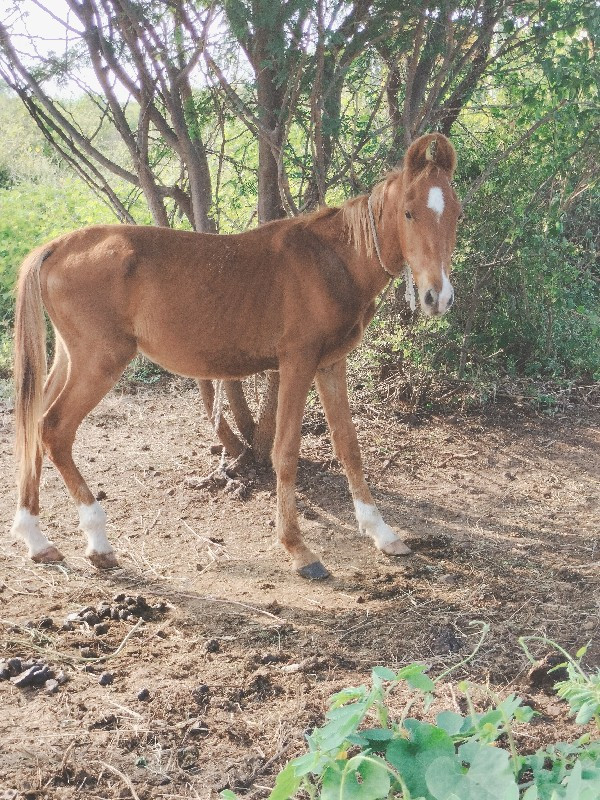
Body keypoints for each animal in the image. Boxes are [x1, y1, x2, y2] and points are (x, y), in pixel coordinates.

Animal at [10, 133, 460, 580]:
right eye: (408, 213)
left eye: (455, 212)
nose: (437, 298)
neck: (332, 260)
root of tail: (57, 246)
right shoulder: (298, 363)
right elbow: (286, 452)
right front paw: (298, 548)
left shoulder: (331, 364)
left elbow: (348, 445)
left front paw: (382, 533)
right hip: (99, 362)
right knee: (55, 430)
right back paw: (98, 542)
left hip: (68, 359)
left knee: (34, 422)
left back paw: (37, 540)